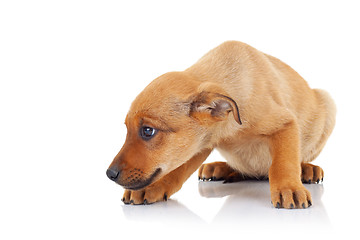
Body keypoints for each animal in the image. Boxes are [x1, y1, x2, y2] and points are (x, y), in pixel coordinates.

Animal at [106, 41, 334, 208]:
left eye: (148, 131)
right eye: (127, 129)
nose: (109, 174)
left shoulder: (285, 123)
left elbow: (283, 163)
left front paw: (289, 188)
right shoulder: (201, 143)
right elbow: (175, 170)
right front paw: (154, 187)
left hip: (328, 105)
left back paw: (307, 170)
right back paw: (218, 167)